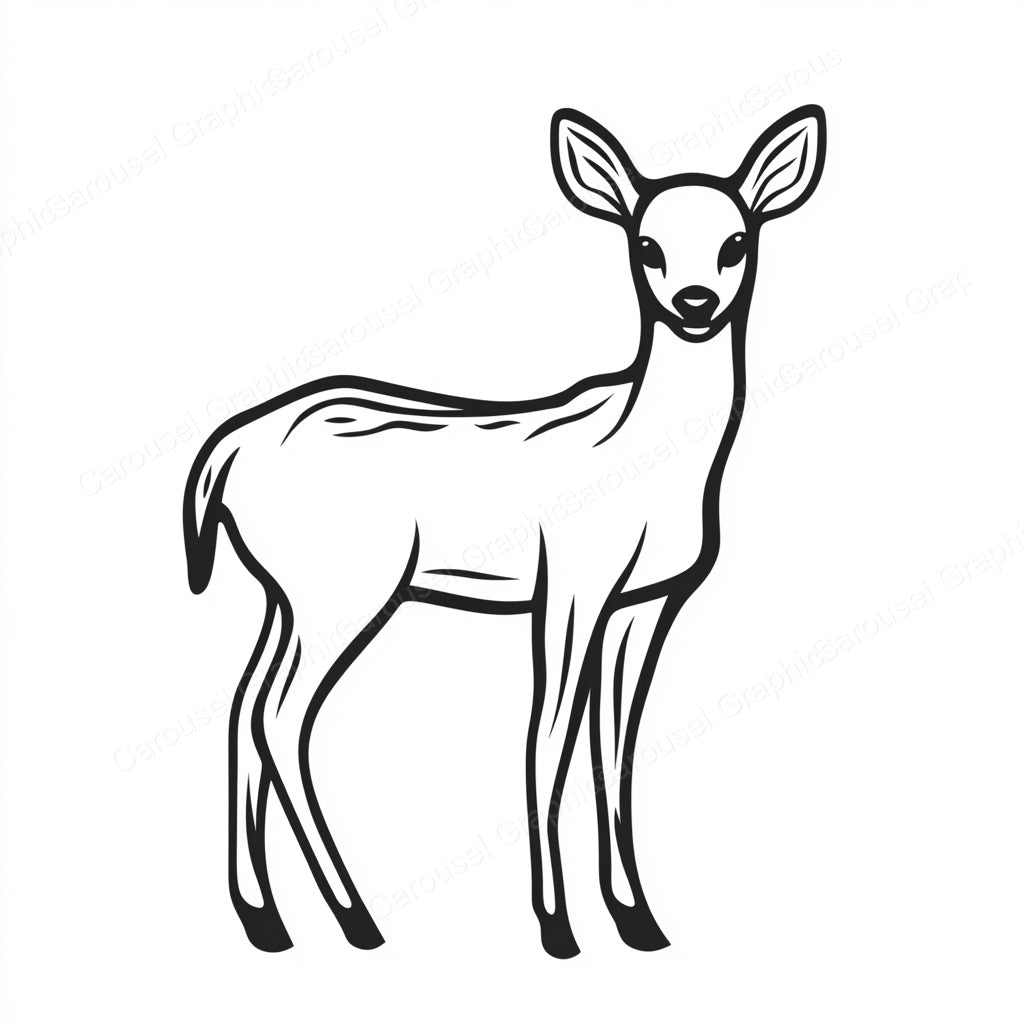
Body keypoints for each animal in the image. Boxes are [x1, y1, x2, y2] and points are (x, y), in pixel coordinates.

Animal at [183, 104, 826, 959]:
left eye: (736, 241)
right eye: (646, 245)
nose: (694, 303)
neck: (646, 452)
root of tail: (226, 452)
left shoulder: (646, 602)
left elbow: (615, 747)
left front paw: (638, 920)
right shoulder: (572, 583)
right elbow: (546, 738)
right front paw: (558, 927)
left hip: (284, 595)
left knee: (242, 705)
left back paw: (266, 920)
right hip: (344, 589)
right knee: (278, 717)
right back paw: (359, 920)